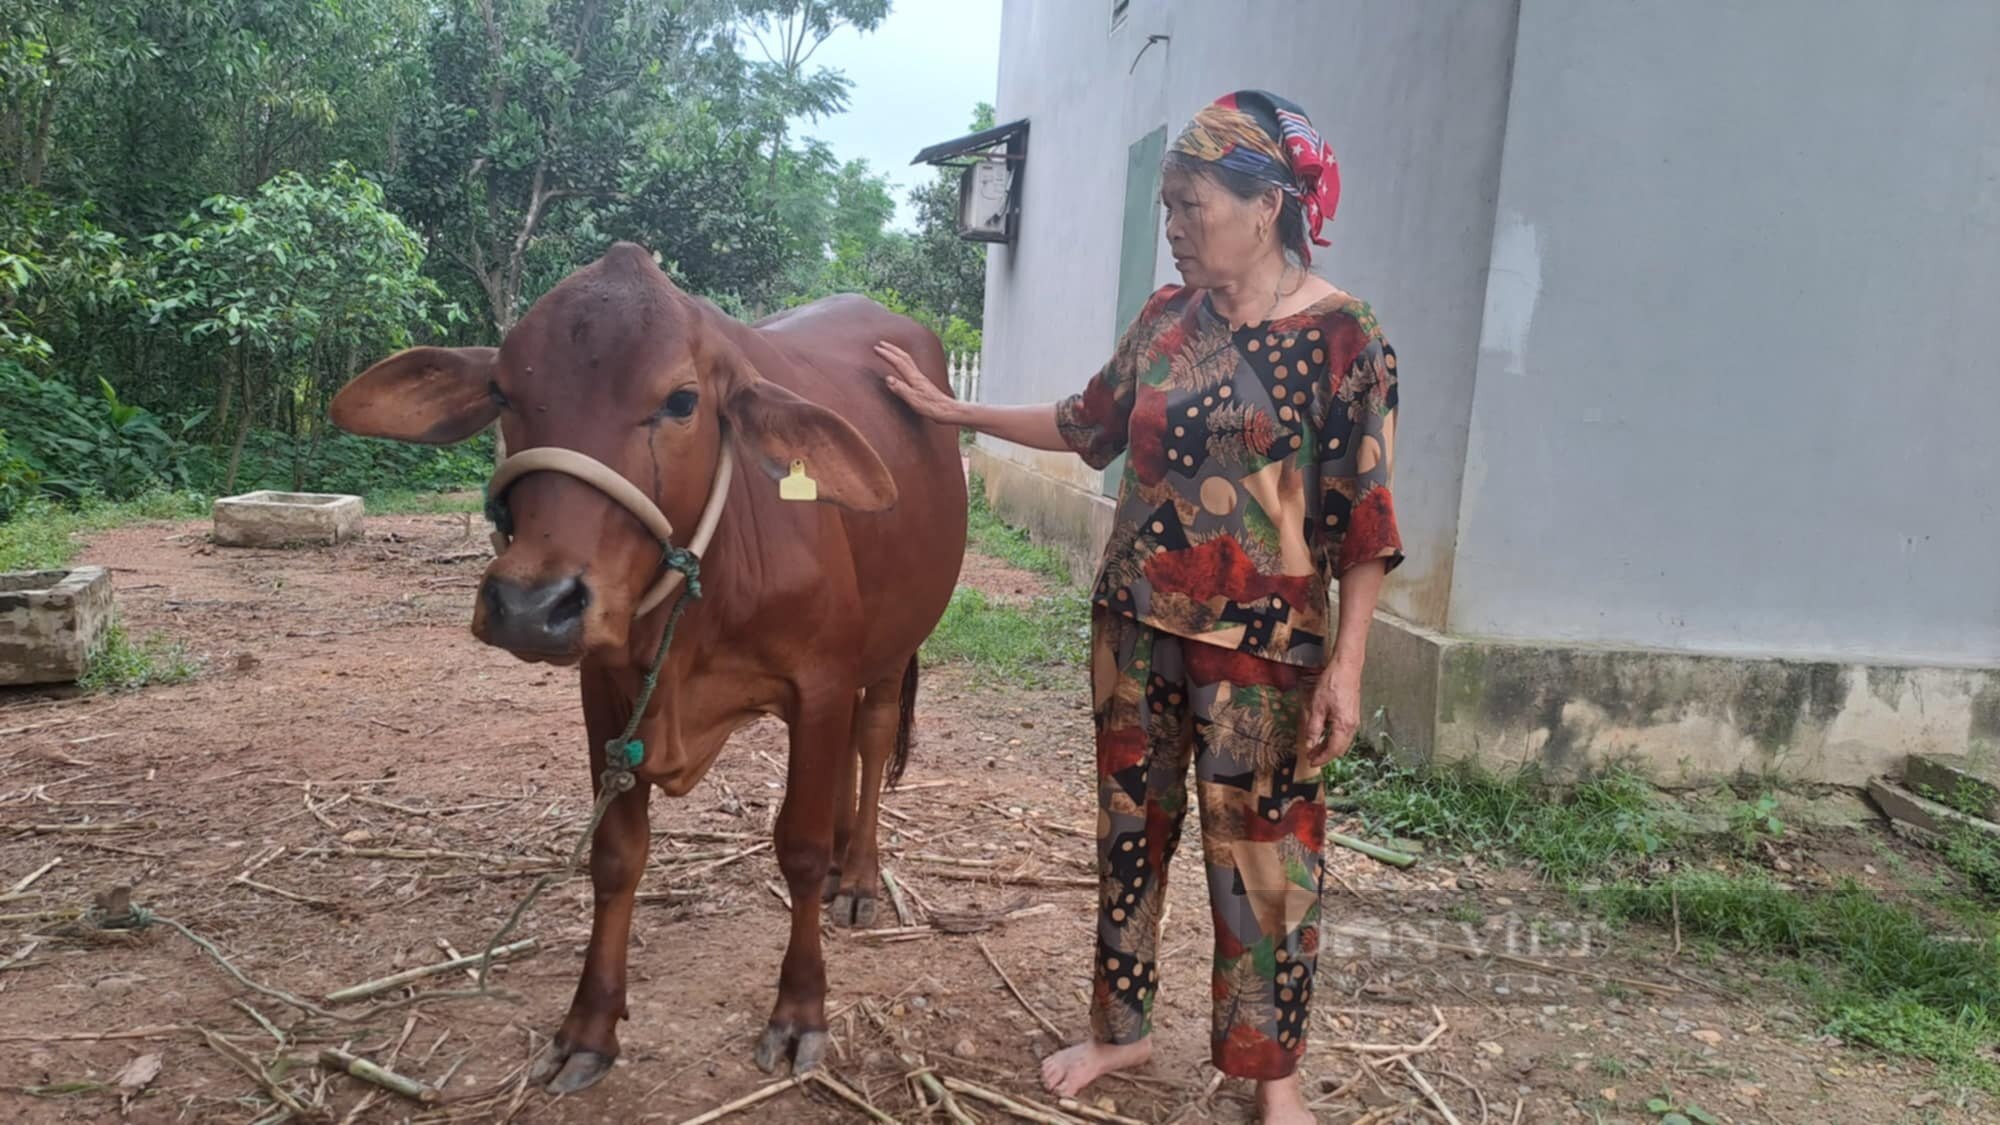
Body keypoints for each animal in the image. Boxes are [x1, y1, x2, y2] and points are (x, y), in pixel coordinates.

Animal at [330, 238, 968, 1088]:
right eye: (501, 390)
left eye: (681, 401)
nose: (531, 603)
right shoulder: (605, 688)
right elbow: (615, 854)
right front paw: (589, 1025)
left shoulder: (822, 680)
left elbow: (796, 848)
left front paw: (800, 1010)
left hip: (894, 644)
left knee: (870, 735)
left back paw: (858, 874)